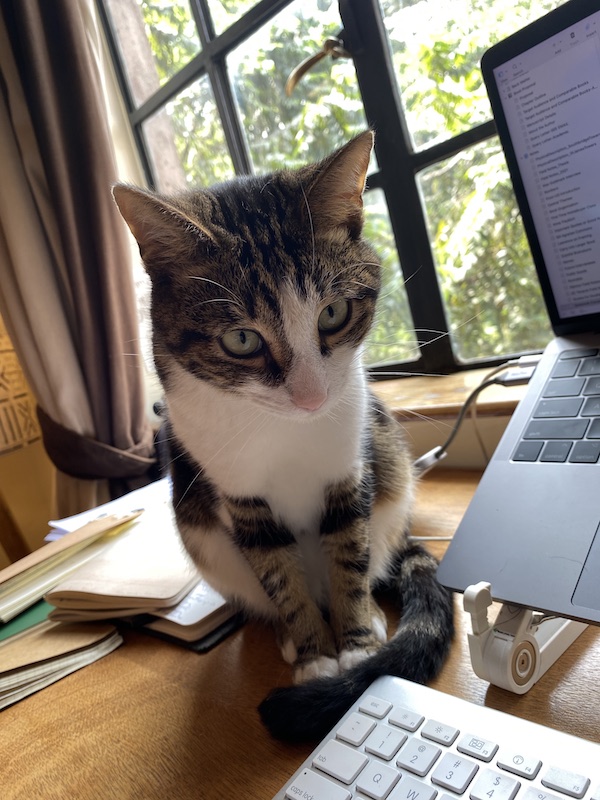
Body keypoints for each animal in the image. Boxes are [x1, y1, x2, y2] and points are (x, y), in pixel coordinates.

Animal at [112, 130, 452, 744]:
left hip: (388, 468)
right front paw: (316, 655)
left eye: (333, 312)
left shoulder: (348, 469)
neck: (285, 432)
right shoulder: (238, 494)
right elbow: (278, 572)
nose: (312, 398)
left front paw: (354, 648)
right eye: (242, 340)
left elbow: (349, 554)